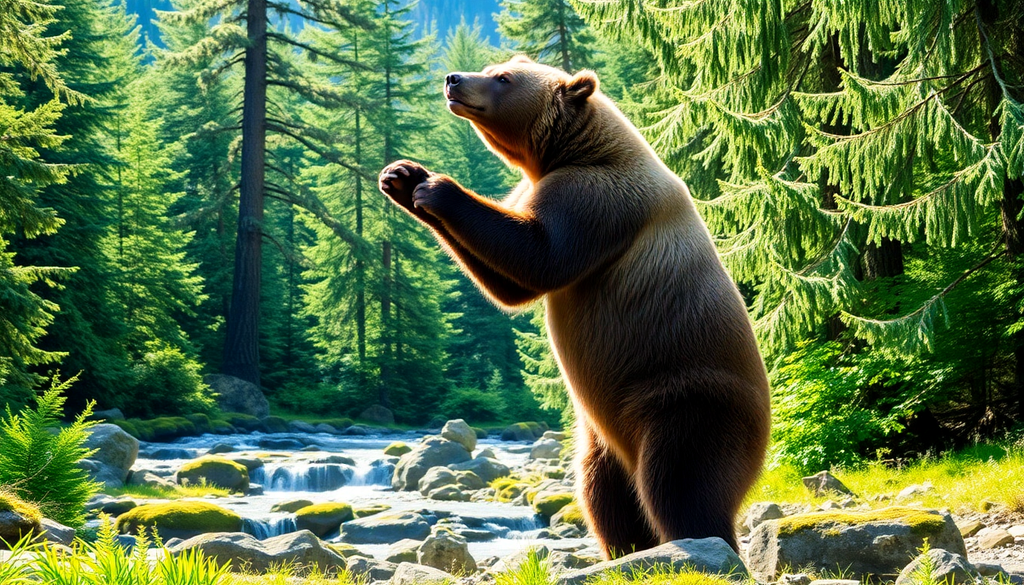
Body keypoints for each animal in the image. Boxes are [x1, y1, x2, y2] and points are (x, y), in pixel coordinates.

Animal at [377, 56, 771, 558]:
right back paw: (626, 551)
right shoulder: (538, 190)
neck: (573, 153)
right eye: (494, 65)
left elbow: (539, 256)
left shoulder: (598, 199)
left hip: (685, 401)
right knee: (604, 495)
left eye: (503, 78)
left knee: (680, 487)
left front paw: (436, 187)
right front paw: (402, 176)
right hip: (601, 438)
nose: (454, 79)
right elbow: (509, 285)